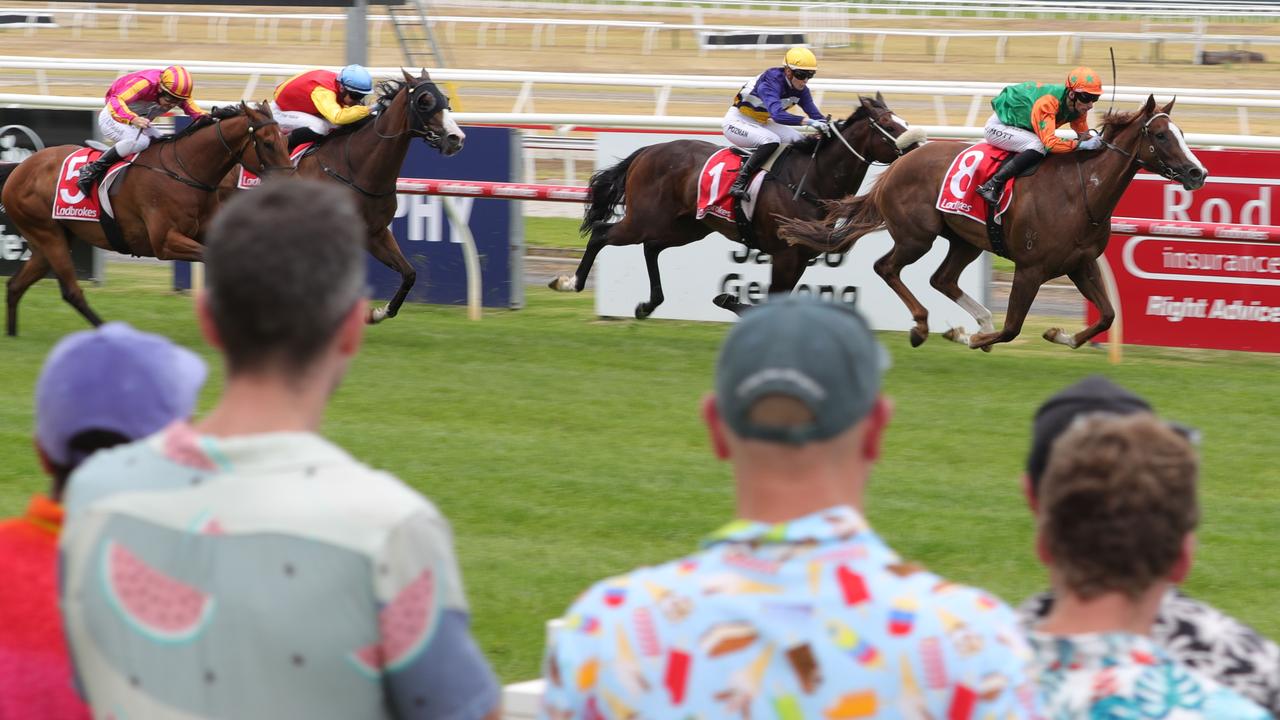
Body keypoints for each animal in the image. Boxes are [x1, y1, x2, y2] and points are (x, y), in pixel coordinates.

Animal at [0, 102, 290, 335]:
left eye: (285, 142)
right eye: (267, 143)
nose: (286, 182)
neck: (185, 170)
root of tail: (20, 168)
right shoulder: (165, 242)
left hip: (49, 240)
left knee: (15, 285)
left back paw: (13, 335)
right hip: (48, 235)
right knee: (72, 292)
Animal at [222, 67, 468, 322]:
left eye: (445, 99)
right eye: (424, 101)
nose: (456, 138)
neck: (356, 168)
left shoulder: (375, 233)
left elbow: (409, 273)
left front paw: (378, 313)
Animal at [545, 90, 926, 315]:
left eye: (902, 119)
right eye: (889, 123)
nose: (919, 149)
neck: (811, 177)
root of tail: (649, 150)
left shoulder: (801, 255)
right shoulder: (785, 254)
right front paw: (728, 298)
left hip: (686, 226)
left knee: (651, 247)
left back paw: (648, 304)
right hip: (644, 218)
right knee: (602, 232)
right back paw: (570, 282)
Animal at [778, 96, 1208, 351]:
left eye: (1182, 133)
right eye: (1160, 135)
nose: (1197, 172)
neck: (1081, 192)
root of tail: (901, 161)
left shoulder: (1081, 264)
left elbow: (1107, 315)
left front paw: (1058, 333)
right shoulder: (1031, 268)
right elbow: (1013, 327)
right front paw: (971, 337)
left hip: (965, 239)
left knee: (942, 279)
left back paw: (970, 320)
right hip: (916, 236)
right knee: (887, 268)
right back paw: (923, 327)